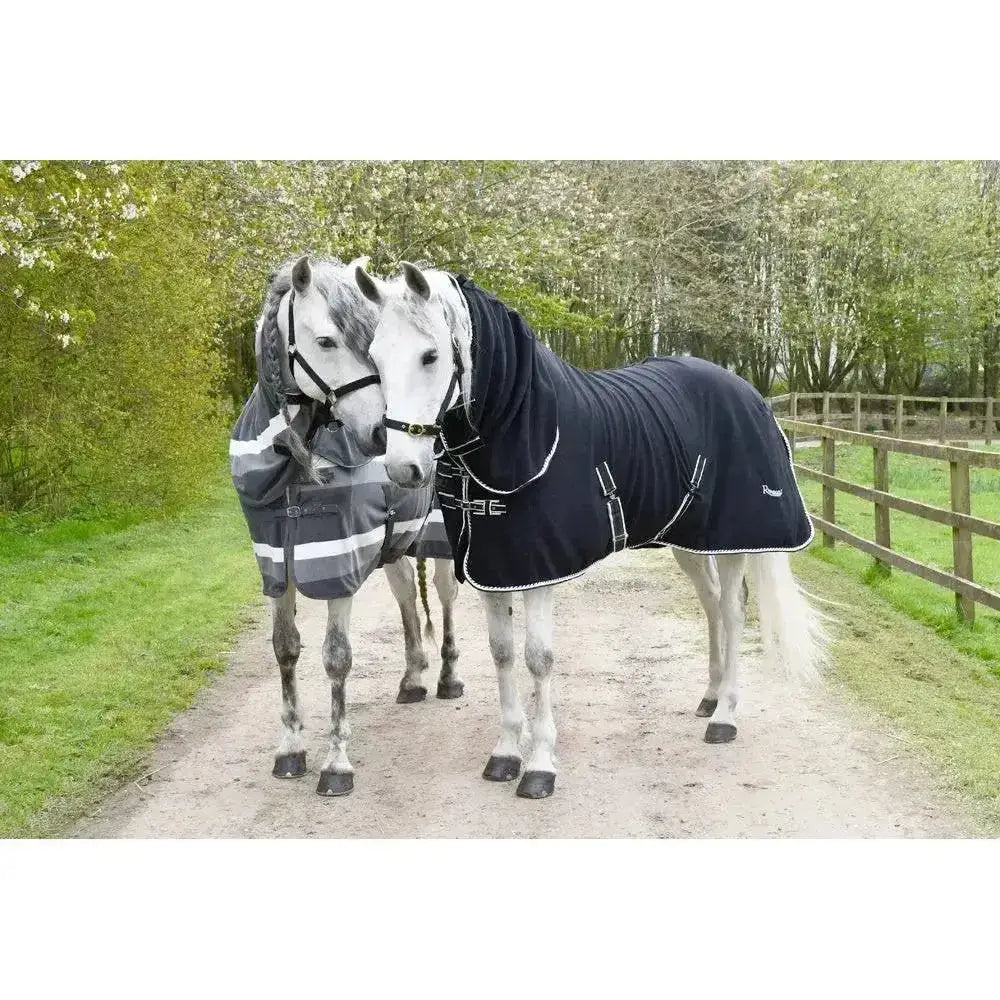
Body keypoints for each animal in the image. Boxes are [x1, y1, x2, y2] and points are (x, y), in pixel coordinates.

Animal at [230, 256, 462, 797]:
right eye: (326, 341)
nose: (379, 434)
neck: (296, 465)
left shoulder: (338, 561)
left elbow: (336, 657)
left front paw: (336, 763)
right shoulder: (277, 564)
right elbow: (285, 649)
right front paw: (290, 749)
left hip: (440, 541)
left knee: (443, 600)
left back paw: (446, 678)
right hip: (395, 547)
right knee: (406, 598)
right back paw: (413, 679)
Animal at [351, 261, 829, 800]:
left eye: (431, 355)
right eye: (375, 358)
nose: (402, 468)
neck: (521, 431)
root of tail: (749, 393)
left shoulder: (537, 570)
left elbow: (538, 658)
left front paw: (540, 767)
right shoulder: (495, 569)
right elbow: (501, 653)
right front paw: (505, 754)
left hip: (733, 539)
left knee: (731, 610)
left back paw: (724, 716)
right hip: (690, 538)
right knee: (710, 602)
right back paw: (708, 697)